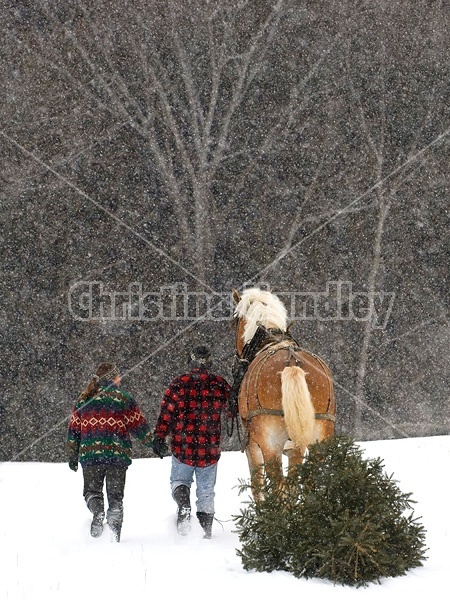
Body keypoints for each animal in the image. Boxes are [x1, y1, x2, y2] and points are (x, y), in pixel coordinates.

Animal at [232, 288, 334, 500]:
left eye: (234, 321)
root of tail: (292, 362)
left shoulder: (252, 446)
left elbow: (258, 487)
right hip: (318, 439)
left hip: (271, 444)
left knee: (278, 488)